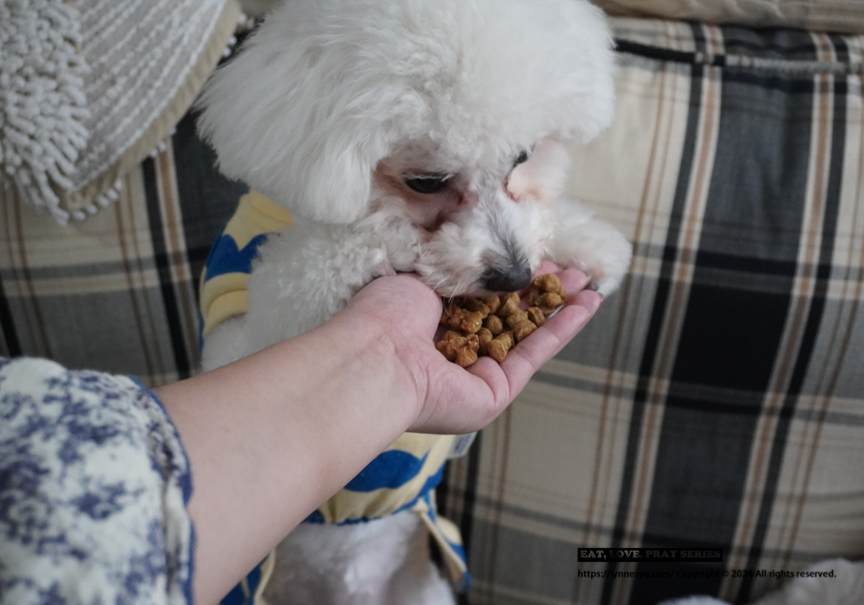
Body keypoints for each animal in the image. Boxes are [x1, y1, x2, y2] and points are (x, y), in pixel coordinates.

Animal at [196, 0, 632, 600]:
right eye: (426, 181)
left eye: (522, 156)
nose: (513, 275)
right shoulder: (240, 337)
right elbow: (313, 269)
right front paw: (388, 241)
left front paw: (591, 244)